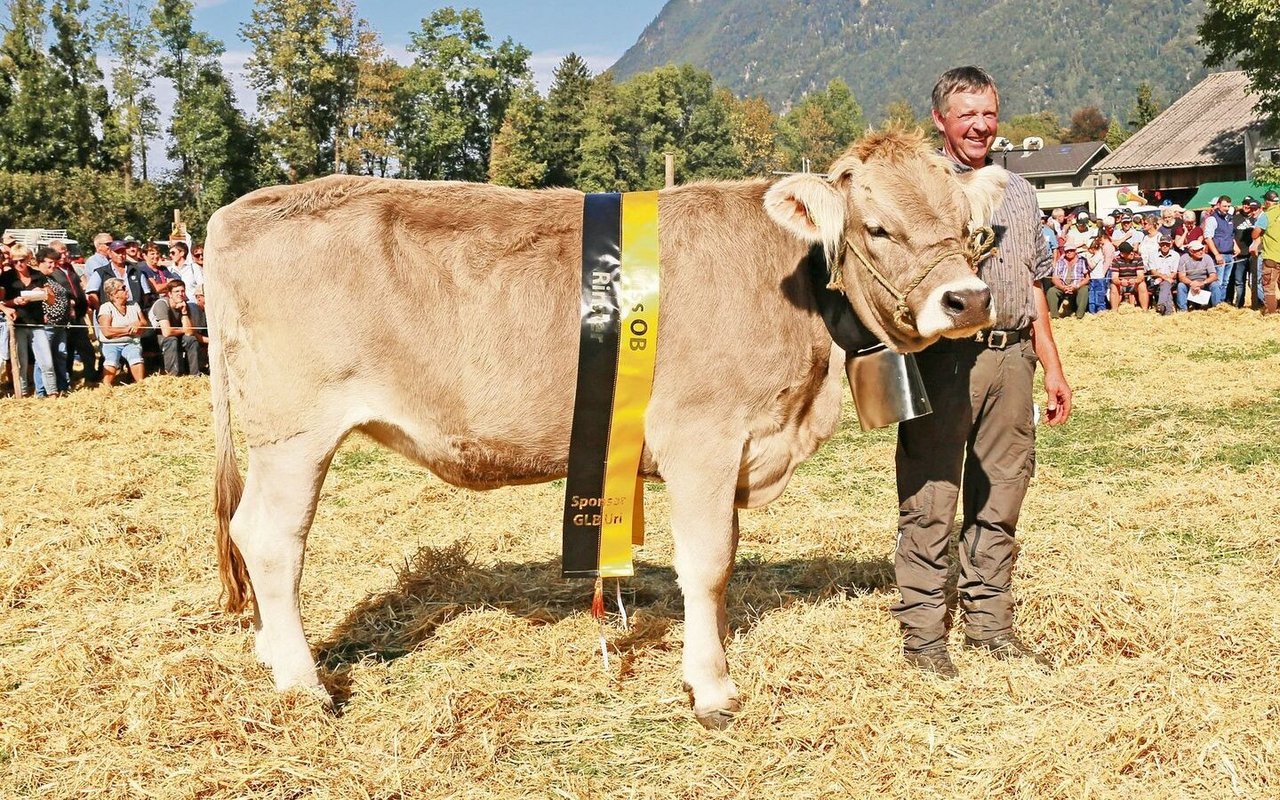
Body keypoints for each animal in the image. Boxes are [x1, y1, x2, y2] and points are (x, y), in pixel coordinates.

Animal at [212, 128, 1008, 727]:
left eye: (971, 232)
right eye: (877, 227)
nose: (968, 300)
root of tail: (246, 208)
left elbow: (724, 558)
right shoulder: (702, 438)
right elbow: (707, 563)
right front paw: (711, 687)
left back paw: (272, 655)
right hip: (294, 433)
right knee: (270, 540)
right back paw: (304, 684)